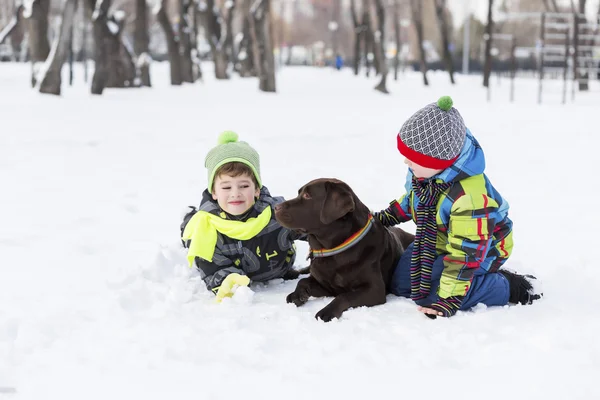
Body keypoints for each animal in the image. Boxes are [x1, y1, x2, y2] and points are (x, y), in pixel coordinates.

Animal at [274, 178, 414, 322]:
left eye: (307, 195)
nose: (276, 207)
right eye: (299, 193)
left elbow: (345, 295)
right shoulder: (327, 286)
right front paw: (296, 295)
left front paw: (327, 312)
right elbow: (303, 281)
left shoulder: (375, 289)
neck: (333, 249)